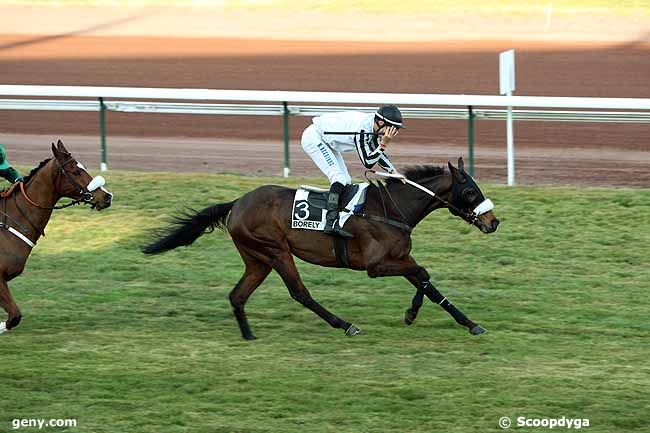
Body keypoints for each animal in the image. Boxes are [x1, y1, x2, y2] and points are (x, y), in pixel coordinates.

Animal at [142, 157, 496, 340]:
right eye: (469, 191)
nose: (493, 222)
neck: (391, 209)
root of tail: (237, 202)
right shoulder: (377, 265)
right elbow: (423, 273)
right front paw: (411, 314)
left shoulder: (399, 257)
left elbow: (428, 283)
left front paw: (468, 323)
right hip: (276, 251)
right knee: (300, 293)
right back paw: (345, 324)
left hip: (258, 259)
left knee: (237, 295)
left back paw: (248, 335)